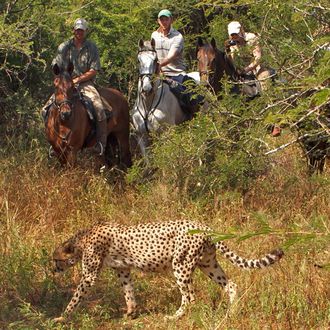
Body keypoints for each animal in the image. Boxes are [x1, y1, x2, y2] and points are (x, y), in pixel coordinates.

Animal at [52, 220, 284, 320]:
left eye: (56, 259)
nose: (53, 269)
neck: (81, 240)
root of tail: (205, 226)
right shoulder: (123, 270)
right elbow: (128, 292)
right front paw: (131, 311)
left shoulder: (89, 275)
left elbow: (76, 296)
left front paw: (62, 317)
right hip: (207, 264)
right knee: (231, 285)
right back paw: (231, 313)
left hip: (180, 265)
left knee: (190, 296)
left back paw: (175, 317)